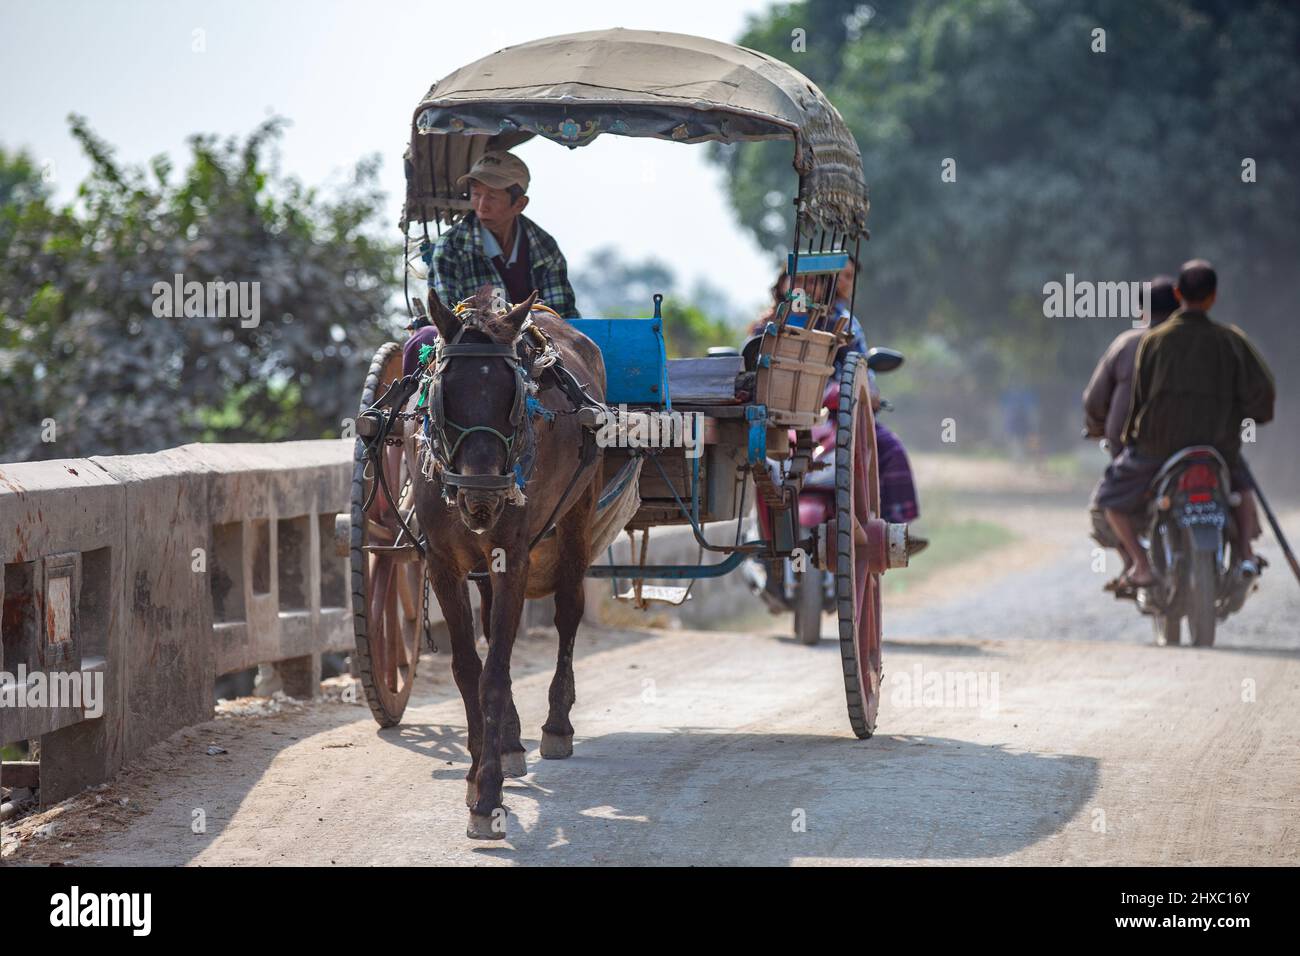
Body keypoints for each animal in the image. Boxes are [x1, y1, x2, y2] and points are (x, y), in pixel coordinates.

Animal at [408, 282, 605, 837]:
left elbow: (494, 673)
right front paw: (478, 767)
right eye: (444, 392)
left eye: (510, 397)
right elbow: (467, 668)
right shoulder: (443, 562)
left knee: (568, 611)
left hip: (579, 511)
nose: (481, 496)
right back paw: (513, 739)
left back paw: (555, 725)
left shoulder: (512, 556)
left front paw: (487, 793)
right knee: (494, 623)